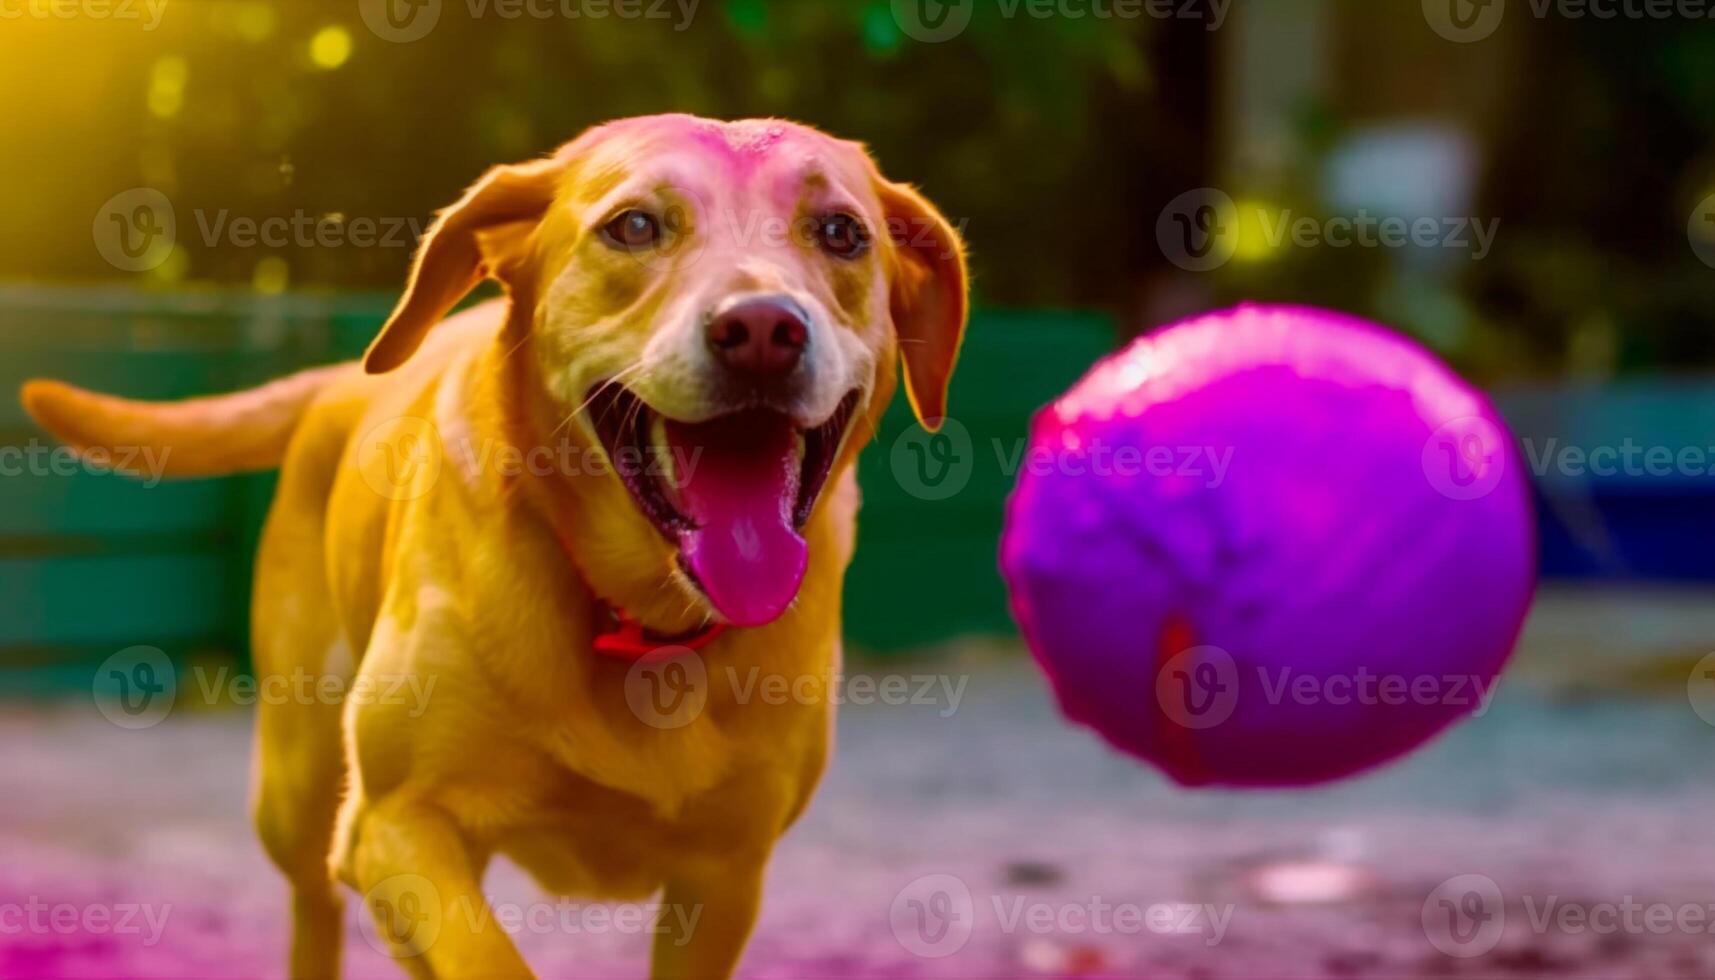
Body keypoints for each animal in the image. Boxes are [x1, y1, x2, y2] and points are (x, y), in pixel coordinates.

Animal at [23, 116, 967, 980]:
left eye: (841, 232)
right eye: (633, 225)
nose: (764, 328)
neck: (640, 617)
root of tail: (330, 382)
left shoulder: (725, 877)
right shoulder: (397, 825)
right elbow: (485, 957)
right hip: (297, 791)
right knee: (312, 905)